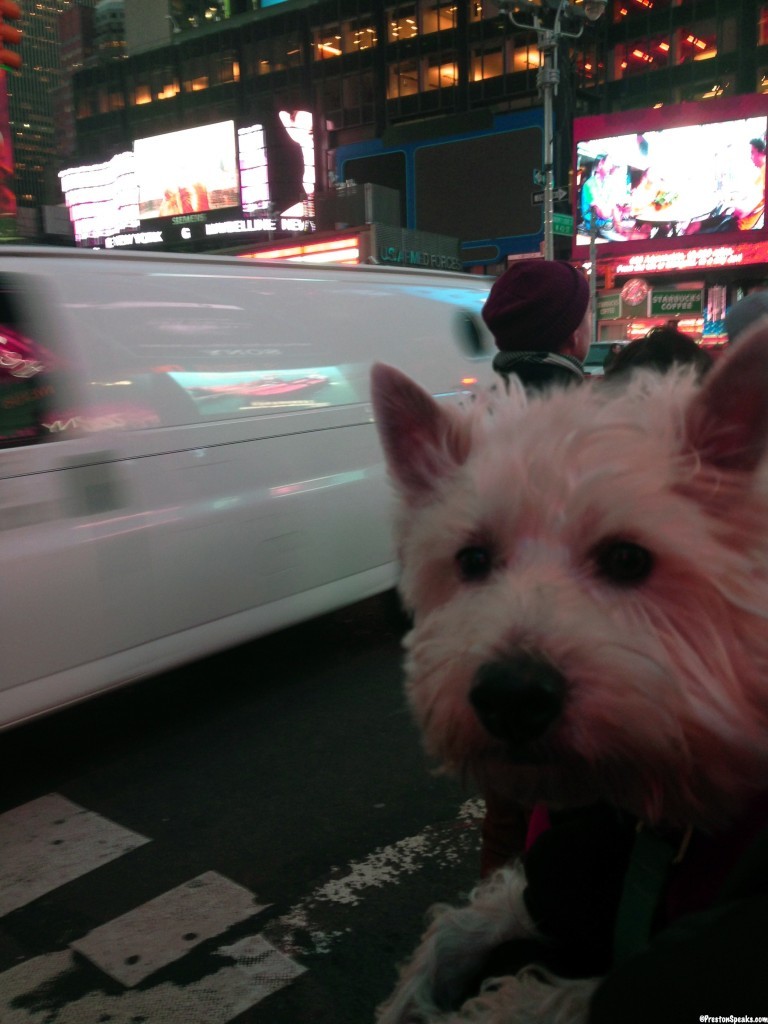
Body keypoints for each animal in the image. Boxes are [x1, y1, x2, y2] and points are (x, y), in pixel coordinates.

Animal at [370, 327, 768, 1024]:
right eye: (472, 560)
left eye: (628, 559)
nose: (510, 698)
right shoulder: (551, 886)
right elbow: (457, 925)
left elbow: (536, 997)